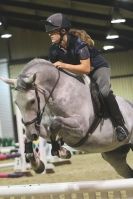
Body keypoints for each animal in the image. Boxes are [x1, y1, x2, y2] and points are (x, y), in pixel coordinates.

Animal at [0, 58, 133, 178]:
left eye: (32, 101)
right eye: (16, 103)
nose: (33, 133)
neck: (60, 94)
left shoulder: (81, 128)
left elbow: (55, 123)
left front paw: (60, 151)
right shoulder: (43, 127)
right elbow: (32, 136)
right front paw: (37, 165)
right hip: (115, 156)